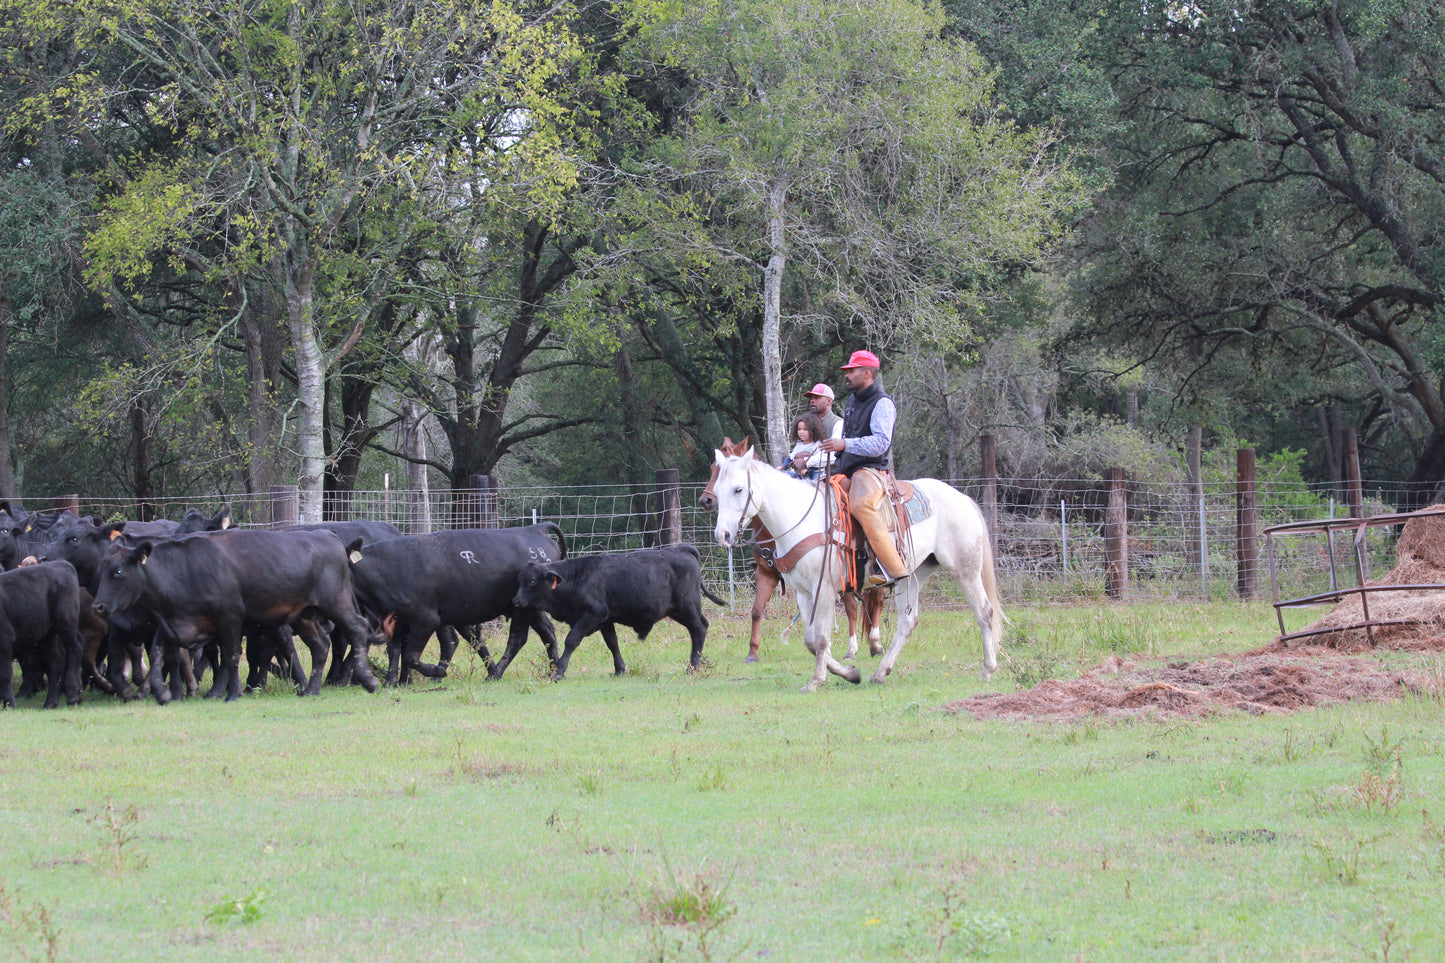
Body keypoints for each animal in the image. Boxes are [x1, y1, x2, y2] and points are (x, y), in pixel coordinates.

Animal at [0, 560, 84, 708]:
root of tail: (61, 563)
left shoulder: (5, 638)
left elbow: (5, 673)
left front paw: (9, 703)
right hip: (48, 634)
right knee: (57, 661)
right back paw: (51, 702)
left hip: (66, 621)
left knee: (75, 647)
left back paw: (73, 694)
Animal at [90, 529, 379, 702]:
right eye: (101, 568)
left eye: (118, 571)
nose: (98, 606)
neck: (184, 568)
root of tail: (329, 537)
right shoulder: (173, 623)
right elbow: (160, 653)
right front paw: (162, 692)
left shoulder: (229, 618)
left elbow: (230, 656)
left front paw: (233, 693)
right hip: (304, 615)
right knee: (320, 646)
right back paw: (311, 689)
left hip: (336, 603)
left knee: (357, 628)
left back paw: (367, 679)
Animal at [344, 524, 565, 686]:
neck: (387, 567)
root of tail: (534, 528)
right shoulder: (397, 621)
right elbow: (394, 650)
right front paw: (392, 682)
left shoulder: (426, 620)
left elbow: (410, 656)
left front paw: (437, 671)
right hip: (530, 608)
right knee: (548, 632)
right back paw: (553, 672)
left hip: (523, 608)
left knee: (517, 639)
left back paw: (494, 674)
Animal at [510, 543, 724, 680]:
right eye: (519, 580)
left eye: (532, 581)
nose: (516, 601)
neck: (577, 578)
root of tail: (681, 549)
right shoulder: (606, 620)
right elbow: (612, 643)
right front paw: (619, 669)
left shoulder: (591, 616)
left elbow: (571, 640)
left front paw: (559, 672)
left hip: (687, 607)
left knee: (699, 628)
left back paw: (693, 666)